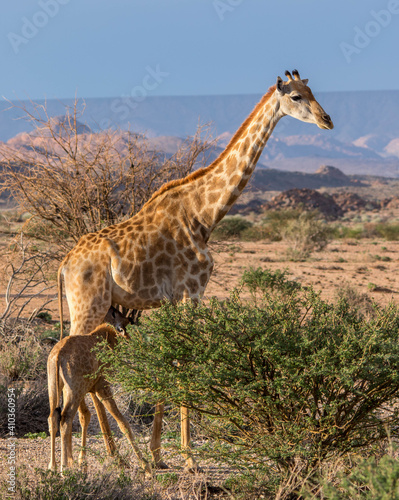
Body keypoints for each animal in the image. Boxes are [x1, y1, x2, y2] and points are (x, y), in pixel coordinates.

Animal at [47, 308, 150, 472]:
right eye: (126, 326)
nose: (131, 342)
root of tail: (57, 356)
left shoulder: (91, 389)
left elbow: (86, 416)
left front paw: (82, 461)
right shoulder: (103, 386)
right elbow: (122, 422)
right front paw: (146, 466)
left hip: (54, 387)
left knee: (52, 418)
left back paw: (53, 467)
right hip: (74, 391)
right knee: (65, 419)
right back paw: (64, 468)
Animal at [58, 71, 334, 472]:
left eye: (313, 91)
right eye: (296, 97)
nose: (327, 120)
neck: (206, 214)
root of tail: (64, 264)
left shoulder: (174, 300)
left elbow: (171, 359)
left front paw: (159, 453)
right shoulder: (192, 292)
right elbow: (184, 360)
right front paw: (189, 458)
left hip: (101, 308)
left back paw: (115, 455)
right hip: (86, 305)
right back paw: (92, 457)